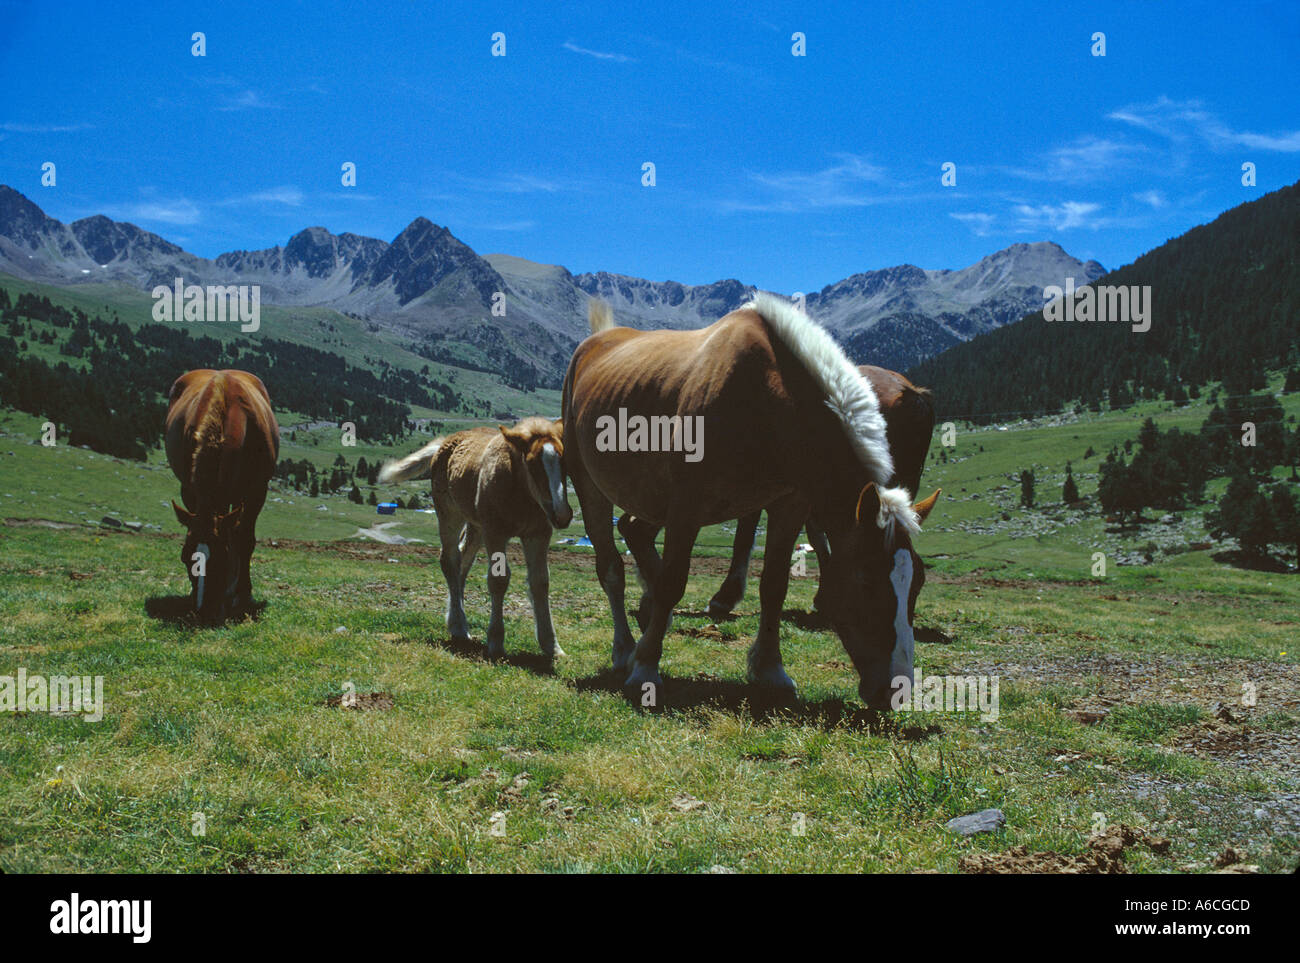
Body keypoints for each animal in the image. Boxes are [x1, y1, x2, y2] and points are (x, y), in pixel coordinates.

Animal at [166, 363, 280, 618]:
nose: (203, 611)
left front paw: (243, 593)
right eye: (185, 557)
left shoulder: (257, 491)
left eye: (221, 556)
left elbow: (244, 539)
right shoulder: (190, 490)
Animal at [379, 418, 574, 660]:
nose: (562, 514)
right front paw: (496, 642)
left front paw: (552, 646)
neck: (522, 496)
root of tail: (444, 442)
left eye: (565, 462)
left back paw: (454, 621)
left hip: (476, 526)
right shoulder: (495, 533)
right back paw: (459, 627)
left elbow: (540, 582)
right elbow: (498, 580)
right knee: (450, 560)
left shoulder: (538, 534)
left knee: (463, 560)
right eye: (532, 464)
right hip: (449, 514)